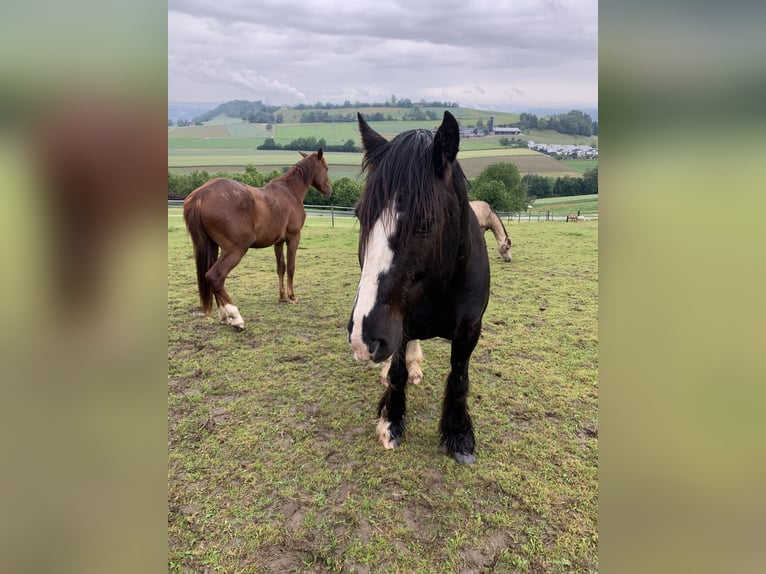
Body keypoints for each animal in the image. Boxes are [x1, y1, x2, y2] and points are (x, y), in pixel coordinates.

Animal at [185, 148, 332, 330]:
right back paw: (236, 317)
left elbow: (281, 268)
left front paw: (282, 297)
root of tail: (201, 195)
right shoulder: (293, 238)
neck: (290, 192)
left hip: (212, 247)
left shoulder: (278, 242)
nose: (329, 190)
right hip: (235, 250)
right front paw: (292, 297)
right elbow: (291, 267)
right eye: (326, 168)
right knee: (215, 276)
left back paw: (225, 316)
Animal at [350, 112, 492, 468]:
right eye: (360, 215)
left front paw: (459, 435)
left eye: (425, 223)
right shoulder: (398, 325)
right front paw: (391, 421)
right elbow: (398, 373)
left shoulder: (470, 330)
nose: (363, 339)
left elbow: (459, 379)